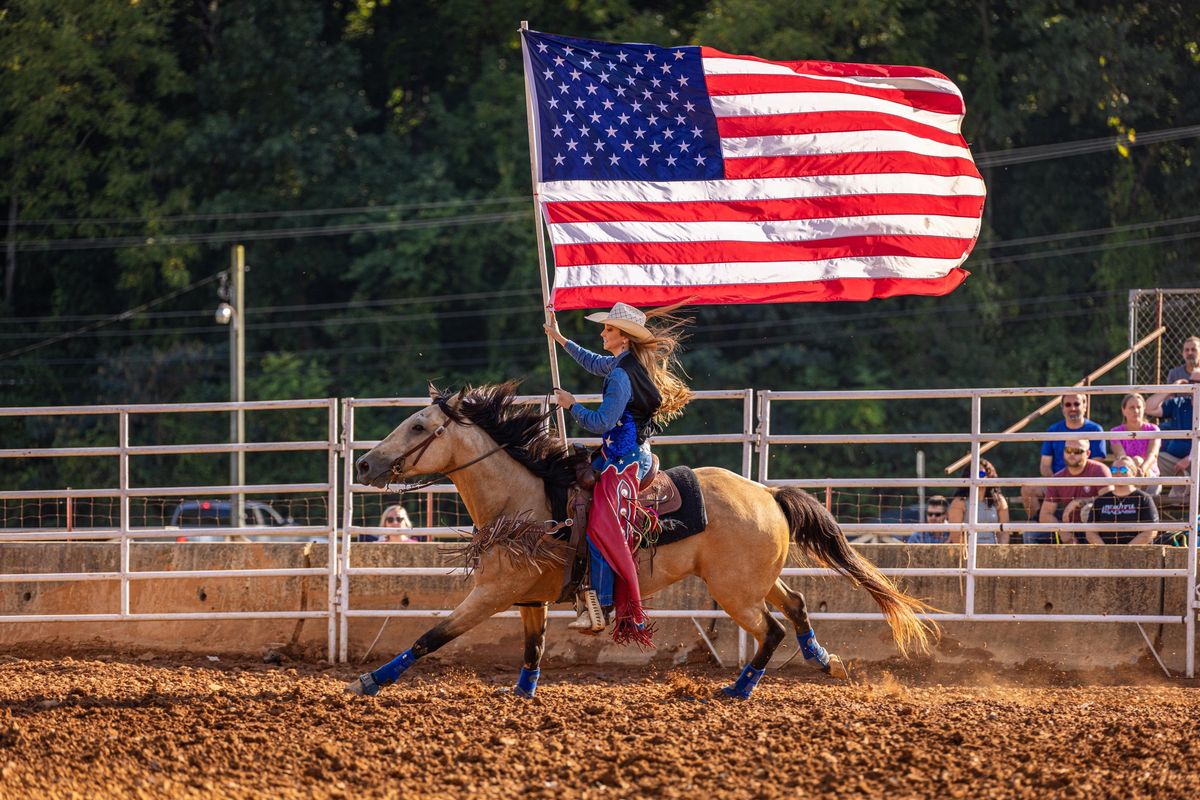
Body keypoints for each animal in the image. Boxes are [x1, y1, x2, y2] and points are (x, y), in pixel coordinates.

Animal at [343, 383, 931, 700]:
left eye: (419, 427)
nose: (366, 463)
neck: (526, 498)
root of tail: (766, 493)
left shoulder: (492, 593)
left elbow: (432, 636)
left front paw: (368, 681)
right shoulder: (529, 599)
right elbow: (532, 649)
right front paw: (522, 694)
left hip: (734, 591)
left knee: (771, 629)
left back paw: (736, 689)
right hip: (754, 579)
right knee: (799, 604)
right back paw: (822, 658)